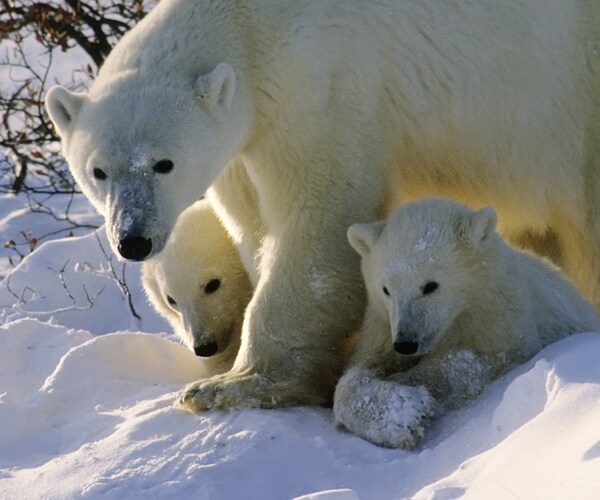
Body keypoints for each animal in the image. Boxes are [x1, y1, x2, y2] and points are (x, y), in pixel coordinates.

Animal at [45, 0, 600, 410]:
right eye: (98, 171)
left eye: (164, 163)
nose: (133, 239)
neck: (250, 28)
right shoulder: (242, 149)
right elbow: (253, 229)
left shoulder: (321, 89)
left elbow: (320, 225)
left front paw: (228, 386)